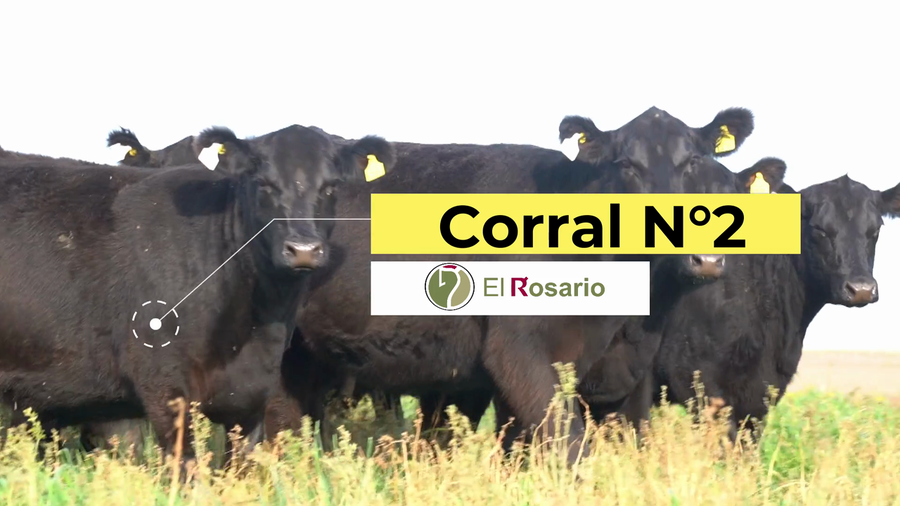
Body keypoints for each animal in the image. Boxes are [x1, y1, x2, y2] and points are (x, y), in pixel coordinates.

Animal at [283, 106, 761, 464]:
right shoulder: (519, 351)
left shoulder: (621, 372)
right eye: (627, 164)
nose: (703, 257)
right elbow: (568, 447)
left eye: (693, 161)